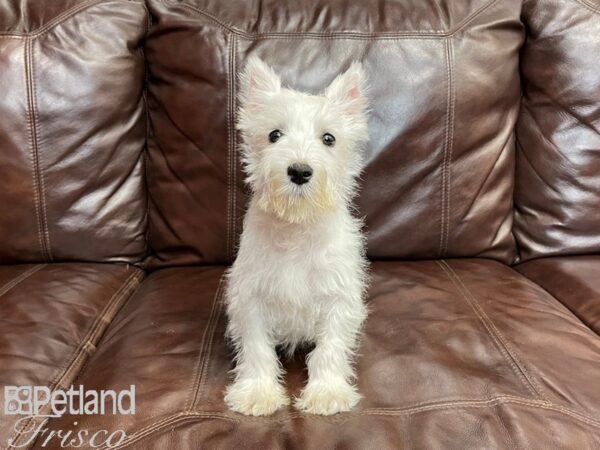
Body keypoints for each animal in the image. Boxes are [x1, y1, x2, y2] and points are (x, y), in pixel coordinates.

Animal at [224, 58, 368, 416]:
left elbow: (329, 348)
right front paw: (257, 393)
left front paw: (327, 393)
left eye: (329, 138)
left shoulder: (339, 297)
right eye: (274, 134)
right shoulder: (250, 298)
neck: (296, 227)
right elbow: (256, 349)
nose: (300, 171)